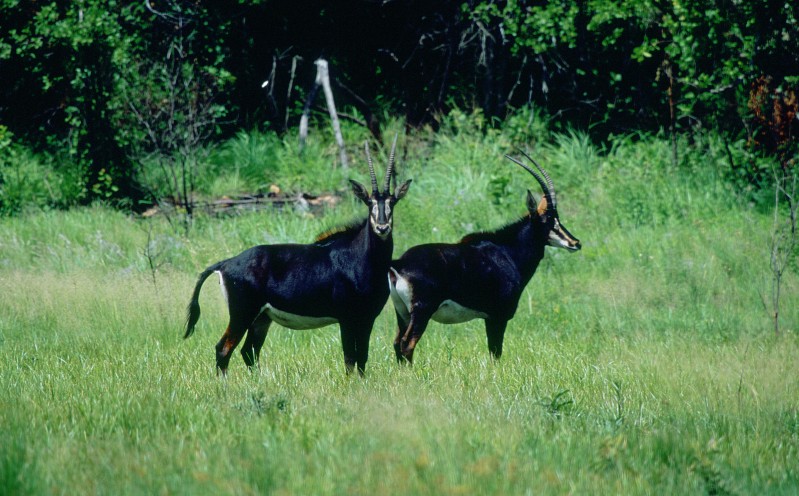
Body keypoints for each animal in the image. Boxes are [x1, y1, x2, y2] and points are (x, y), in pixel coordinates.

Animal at [184, 138, 412, 374]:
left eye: (392, 202)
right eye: (370, 203)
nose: (382, 227)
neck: (362, 261)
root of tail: (225, 264)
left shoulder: (367, 318)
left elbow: (362, 359)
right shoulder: (346, 319)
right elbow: (350, 359)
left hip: (261, 318)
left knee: (249, 351)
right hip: (242, 314)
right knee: (223, 349)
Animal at [388, 151, 580, 364]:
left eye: (558, 219)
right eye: (549, 221)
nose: (575, 243)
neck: (508, 252)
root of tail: (399, 264)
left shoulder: (489, 317)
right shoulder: (497, 317)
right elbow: (496, 352)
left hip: (402, 312)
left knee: (397, 343)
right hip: (421, 311)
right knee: (407, 344)